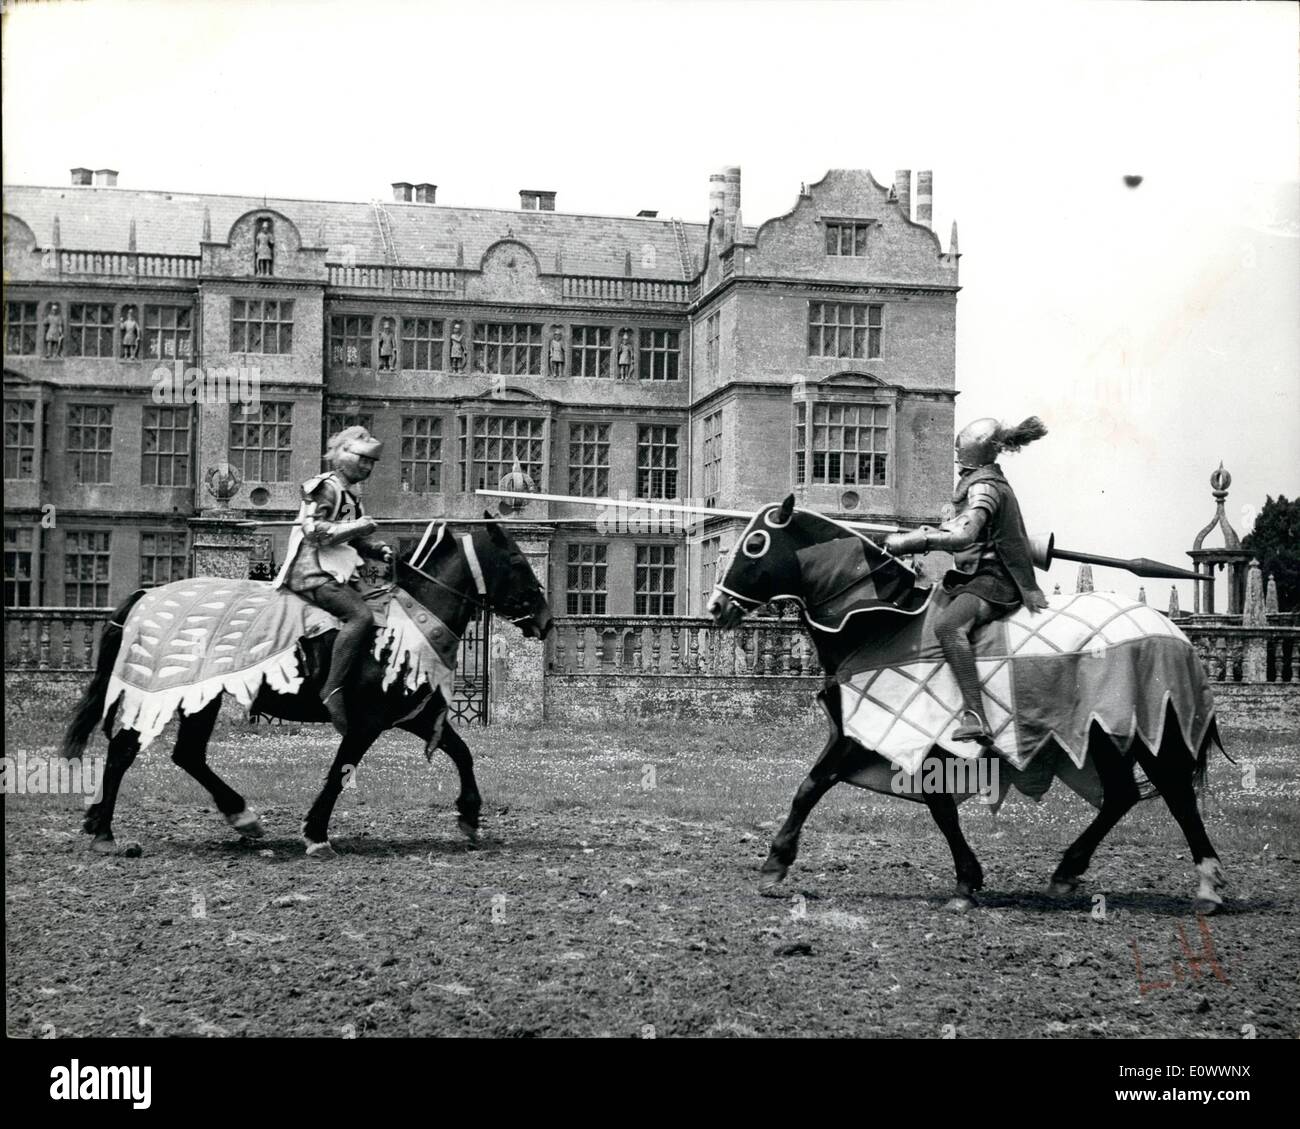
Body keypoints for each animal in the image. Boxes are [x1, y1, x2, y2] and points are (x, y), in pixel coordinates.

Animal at [63, 517, 551, 853]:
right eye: (516, 561)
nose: (545, 620)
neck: (408, 619)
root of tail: (146, 596)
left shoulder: (412, 717)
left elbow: (461, 752)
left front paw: (469, 814)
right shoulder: (366, 723)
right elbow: (340, 772)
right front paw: (316, 833)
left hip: (200, 700)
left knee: (182, 755)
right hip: (177, 696)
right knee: (129, 752)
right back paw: (107, 831)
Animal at [712, 499, 1227, 910]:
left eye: (755, 543)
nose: (717, 608)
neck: (879, 623)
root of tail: (1177, 635)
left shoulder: (892, 734)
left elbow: (818, 787)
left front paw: (775, 863)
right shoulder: (881, 738)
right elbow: (917, 804)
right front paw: (968, 879)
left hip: (1143, 729)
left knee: (1176, 795)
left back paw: (1208, 886)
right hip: (1107, 736)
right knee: (1122, 795)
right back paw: (1067, 872)